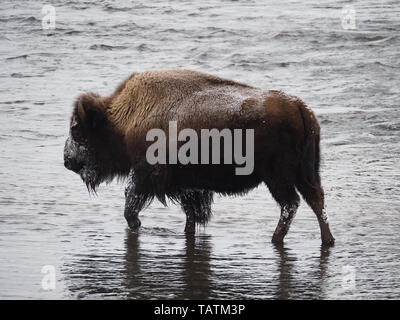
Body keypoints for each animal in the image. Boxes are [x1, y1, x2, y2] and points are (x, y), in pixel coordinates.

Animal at [64, 69, 334, 245]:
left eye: (77, 130)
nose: (67, 160)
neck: (126, 117)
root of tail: (298, 106)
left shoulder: (144, 174)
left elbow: (131, 207)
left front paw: (138, 226)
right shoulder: (190, 187)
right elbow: (191, 215)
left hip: (277, 176)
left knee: (291, 203)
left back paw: (276, 239)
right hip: (306, 172)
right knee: (315, 200)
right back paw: (327, 240)